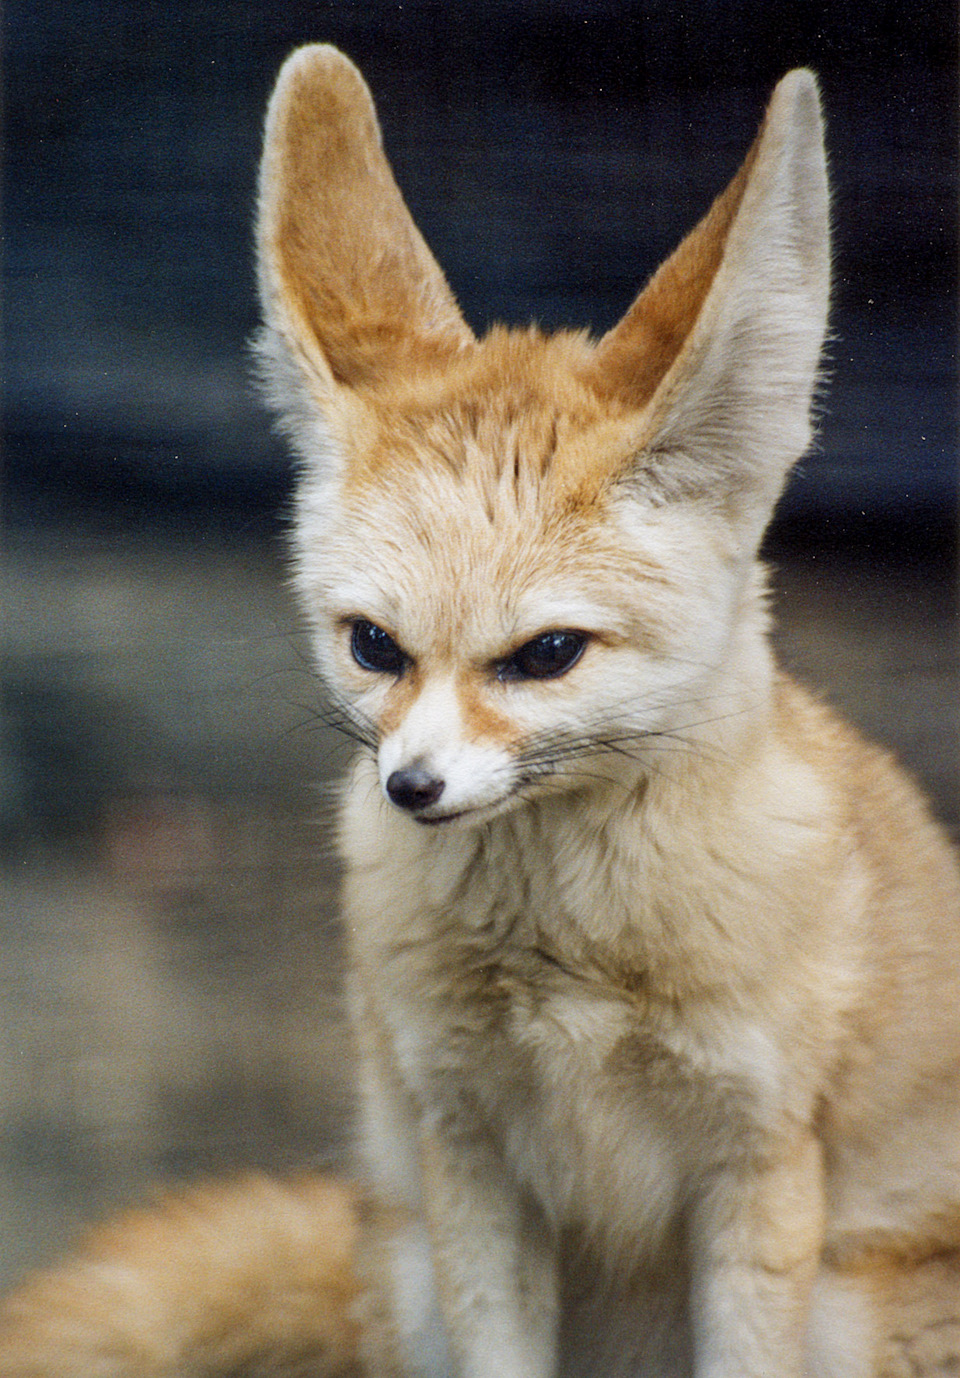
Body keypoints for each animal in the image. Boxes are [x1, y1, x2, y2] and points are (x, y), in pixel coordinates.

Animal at [1, 43, 958, 1378]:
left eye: (545, 654)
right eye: (374, 645)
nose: (411, 787)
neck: (573, 971)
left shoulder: (760, 1166)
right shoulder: (469, 1156)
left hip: (847, 1305)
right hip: (408, 1270)